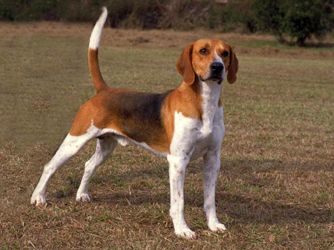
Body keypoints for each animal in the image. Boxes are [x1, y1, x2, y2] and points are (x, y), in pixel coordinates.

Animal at [30, 6, 237, 239]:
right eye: (203, 51)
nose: (218, 67)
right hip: (75, 141)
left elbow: (210, 199)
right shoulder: (178, 161)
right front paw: (182, 230)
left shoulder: (212, 159)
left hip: (107, 146)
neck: (204, 101)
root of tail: (104, 90)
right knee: (50, 166)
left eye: (225, 53)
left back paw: (81, 194)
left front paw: (213, 225)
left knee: (88, 165)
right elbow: (178, 201)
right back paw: (38, 198)